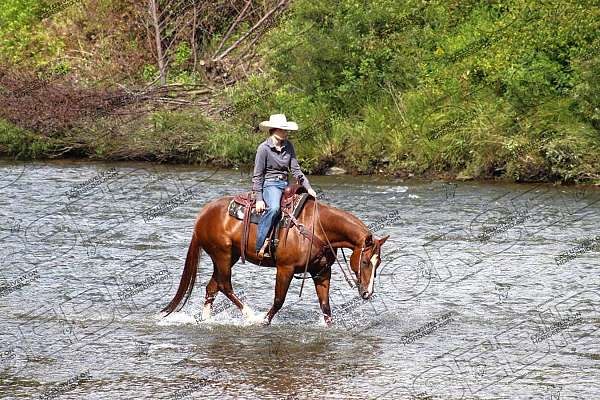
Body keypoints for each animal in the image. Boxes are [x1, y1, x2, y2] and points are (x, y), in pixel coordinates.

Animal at [162, 193, 392, 324]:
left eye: (378, 263)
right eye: (365, 262)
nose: (367, 293)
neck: (317, 227)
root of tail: (203, 213)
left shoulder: (321, 272)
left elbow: (325, 307)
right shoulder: (285, 268)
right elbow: (279, 301)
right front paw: (263, 321)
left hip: (230, 256)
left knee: (212, 287)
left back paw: (206, 320)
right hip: (222, 255)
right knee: (225, 285)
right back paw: (250, 316)